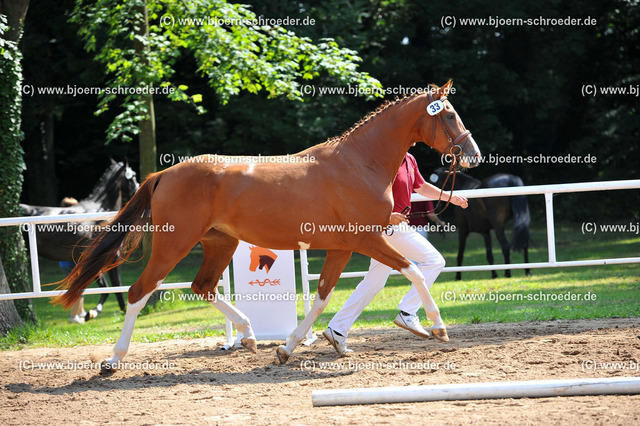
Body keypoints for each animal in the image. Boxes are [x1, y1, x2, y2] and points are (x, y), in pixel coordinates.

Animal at [56, 80, 480, 370]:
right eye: (449, 114)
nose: (473, 155)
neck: (358, 164)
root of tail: (163, 174)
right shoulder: (369, 241)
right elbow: (414, 272)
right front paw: (438, 328)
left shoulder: (343, 247)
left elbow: (322, 296)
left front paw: (290, 347)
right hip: (173, 244)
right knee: (139, 292)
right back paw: (113, 360)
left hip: (219, 243)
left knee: (202, 286)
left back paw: (248, 335)